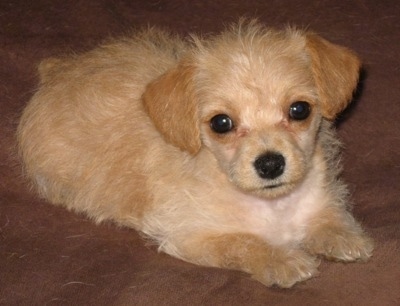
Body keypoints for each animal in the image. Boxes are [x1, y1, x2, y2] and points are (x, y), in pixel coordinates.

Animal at [18, 20, 376, 286]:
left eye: (299, 109)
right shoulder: (191, 236)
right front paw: (282, 260)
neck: (273, 207)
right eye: (221, 123)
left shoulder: (321, 197)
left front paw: (343, 236)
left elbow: (328, 215)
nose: (270, 164)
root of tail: (58, 70)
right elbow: (241, 242)